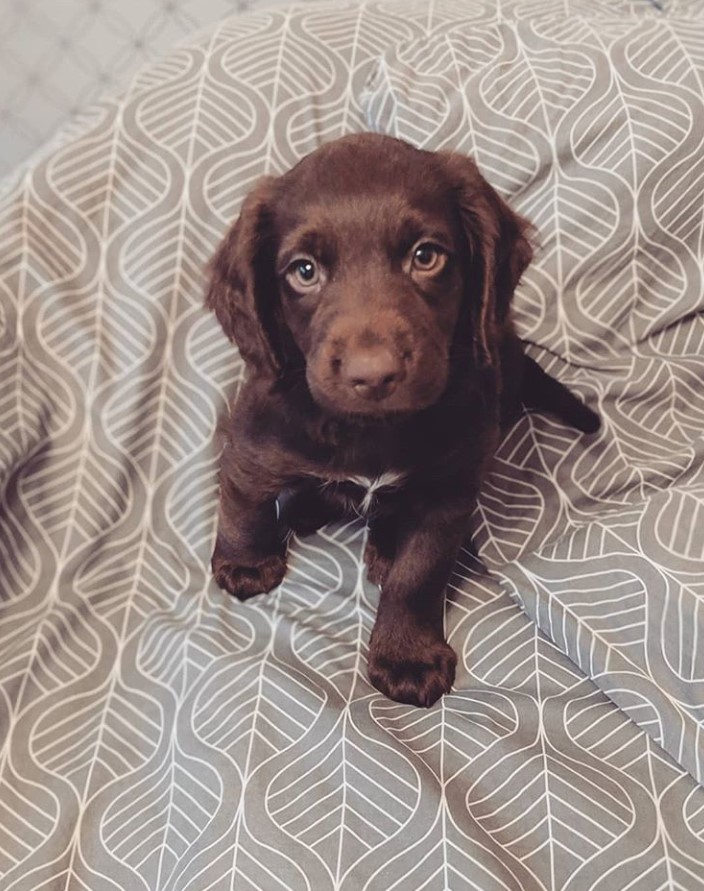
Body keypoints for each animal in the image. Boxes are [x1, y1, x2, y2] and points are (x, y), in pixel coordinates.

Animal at [206, 134, 596, 712]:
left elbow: (419, 574)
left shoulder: (449, 488)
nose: (374, 375)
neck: (371, 430)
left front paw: (406, 655)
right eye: (304, 270)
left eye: (425, 256)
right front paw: (246, 564)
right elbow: (242, 502)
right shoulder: (256, 437)